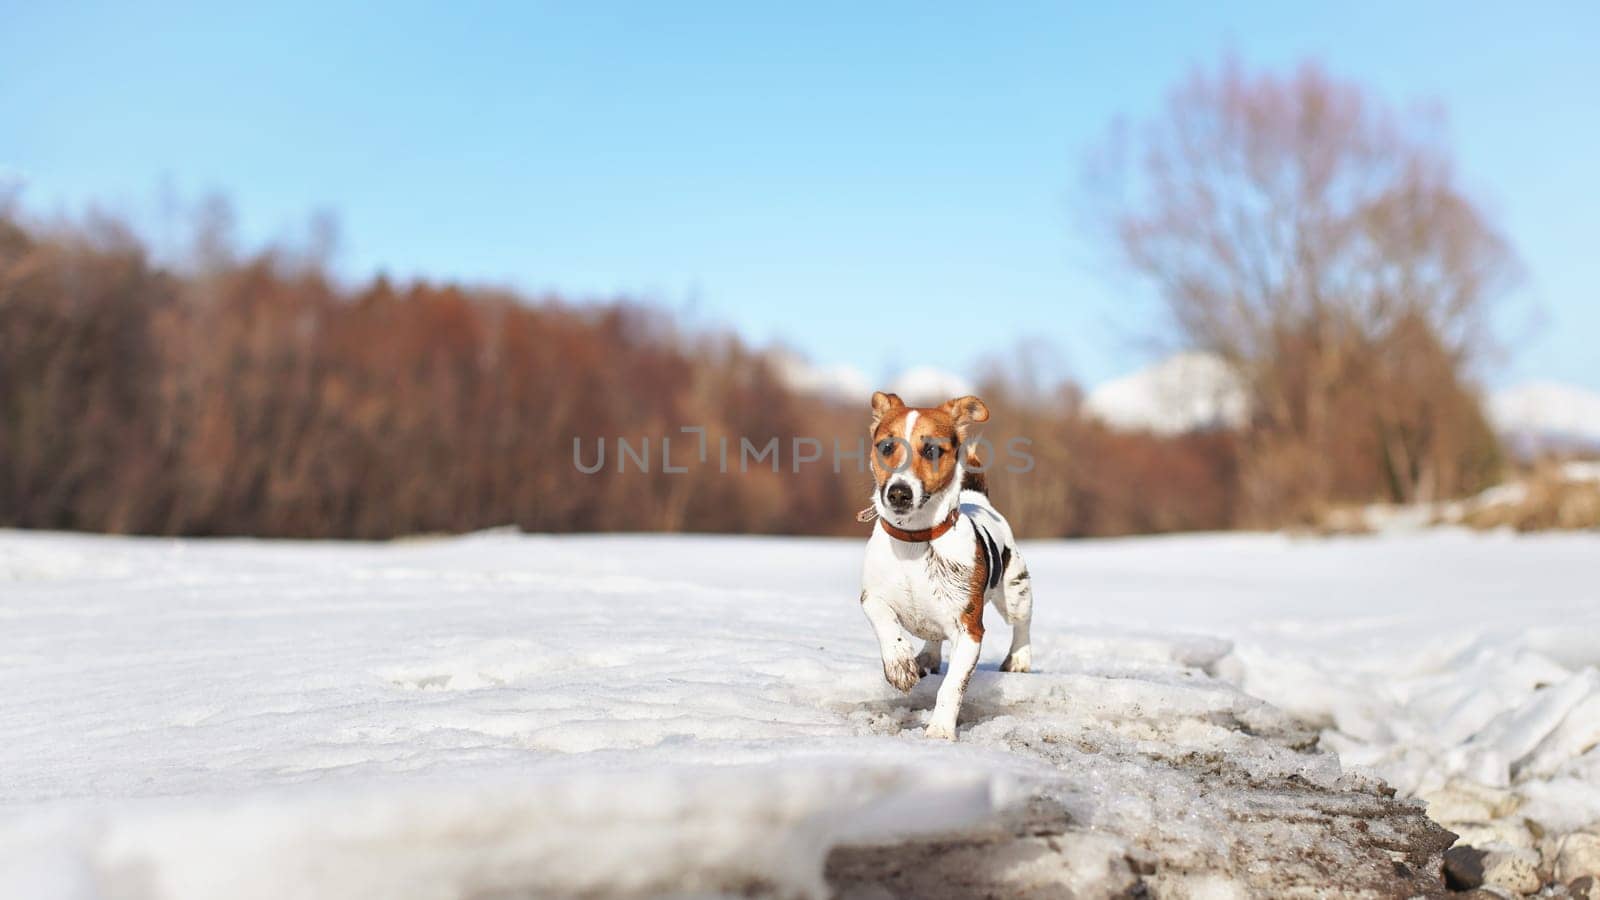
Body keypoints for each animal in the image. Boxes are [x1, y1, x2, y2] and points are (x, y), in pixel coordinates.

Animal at [857, 389, 1030, 739]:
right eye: (886, 446)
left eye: (933, 449)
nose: (899, 493)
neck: (914, 540)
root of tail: (979, 498)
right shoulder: (871, 596)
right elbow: (884, 620)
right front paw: (900, 664)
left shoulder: (969, 630)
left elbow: (952, 686)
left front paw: (940, 730)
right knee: (931, 636)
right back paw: (925, 656)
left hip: (1016, 589)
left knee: (1022, 623)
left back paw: (1019, 658)